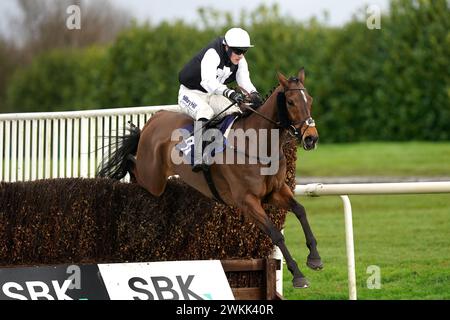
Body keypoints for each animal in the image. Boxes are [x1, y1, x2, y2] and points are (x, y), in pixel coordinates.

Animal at [99, 69, 324, 288]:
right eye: (291, 102)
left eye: (310, 100)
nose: (311, 138)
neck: (257, 145)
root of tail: (154, 120)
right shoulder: (247, 201)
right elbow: (275, 233)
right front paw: (298, 275)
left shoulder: (275, 191)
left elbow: (300, 210)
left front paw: (314, 258)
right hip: (153, 178)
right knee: (133, 164)